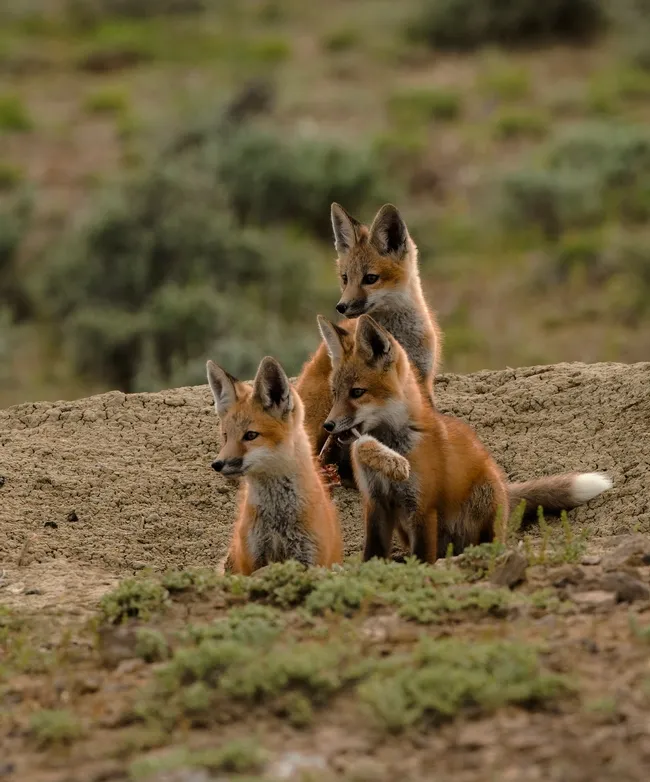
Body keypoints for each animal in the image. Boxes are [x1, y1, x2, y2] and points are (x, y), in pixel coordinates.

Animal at [206, 355, 343, 575]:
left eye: (250, 435)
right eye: (226, 436)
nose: (217, 464)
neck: (278, 520)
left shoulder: (310, 557)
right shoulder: (254, 559)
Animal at [317, 313, 613, 562]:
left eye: (357, 393)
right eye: (335, 393)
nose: (328, 425)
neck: (392, 446)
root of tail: (505, 489)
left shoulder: (422, 505)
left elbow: (423, 557)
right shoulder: (376, 502)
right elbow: (373, 554)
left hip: (484, 498)